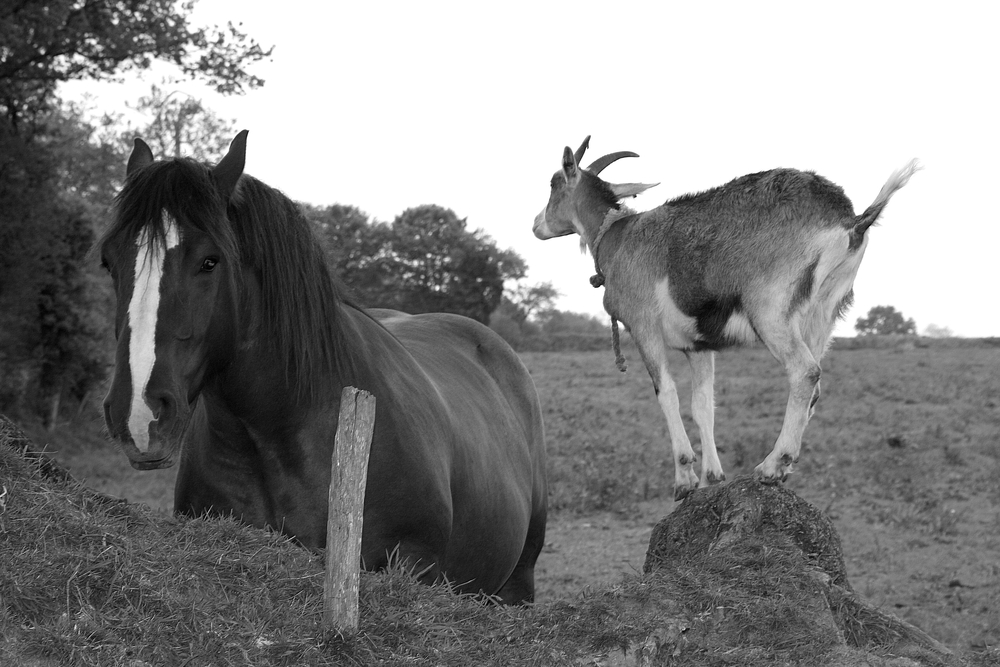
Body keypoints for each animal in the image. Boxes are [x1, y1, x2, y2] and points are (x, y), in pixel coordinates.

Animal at [536, 137, 916, 500]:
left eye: (554, 183)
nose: (537, 226)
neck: (617, 236)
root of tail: (852, 221)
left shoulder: (643, 327)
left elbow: (666, 393)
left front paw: (684, 479)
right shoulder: (698, 346)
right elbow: (703, 405)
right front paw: (712, 478)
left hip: (770, 310)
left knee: (805, 372)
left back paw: (771, 466)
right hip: (823, 312)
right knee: (816, 383)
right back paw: (784, 467)